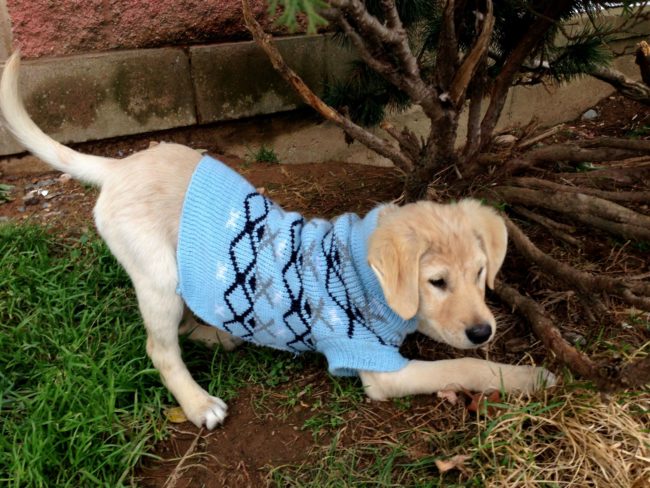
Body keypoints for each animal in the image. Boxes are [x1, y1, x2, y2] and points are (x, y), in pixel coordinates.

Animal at [0, 51, 552, 428]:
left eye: (480, 273)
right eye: (436, 281)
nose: (484, 331)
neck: (361, 276)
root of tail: (119, 167)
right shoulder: (378, 368)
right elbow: (462, 366)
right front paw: (531, 378)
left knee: (184, 323)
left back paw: (222, 334)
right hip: (158, 275)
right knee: (160, 347)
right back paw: (198, 403)